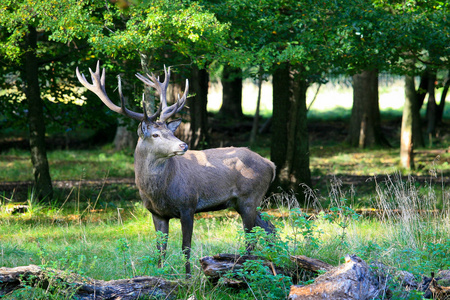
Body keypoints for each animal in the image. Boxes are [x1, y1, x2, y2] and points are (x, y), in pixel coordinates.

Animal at [75, 62, 276, 276]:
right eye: (155, 135)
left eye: (170, 131)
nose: (183, 145)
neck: (158, 192)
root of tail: (271, 165)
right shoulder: (157, 213)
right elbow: (160, 249)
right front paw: (159, 274)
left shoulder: (188, 205)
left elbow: (186, 247)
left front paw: (188, 277)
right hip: (242, 202)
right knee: (270, 228)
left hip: (250, 197)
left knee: (252, 237)